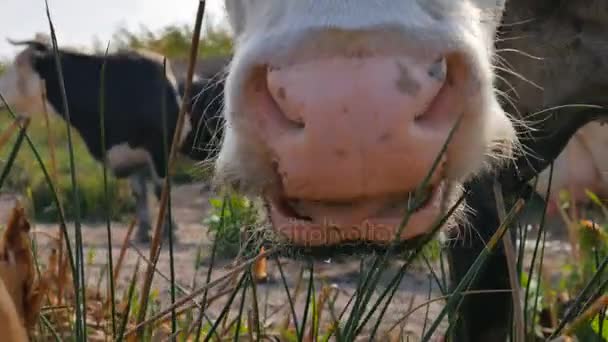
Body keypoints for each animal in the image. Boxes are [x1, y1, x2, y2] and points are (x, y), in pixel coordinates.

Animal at [0, 34, 226, 243]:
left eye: (19, 65)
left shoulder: (160, 150)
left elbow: (161, 191)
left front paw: (168, 233)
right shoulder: (131, 157)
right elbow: (140, 194)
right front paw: (143, 233)